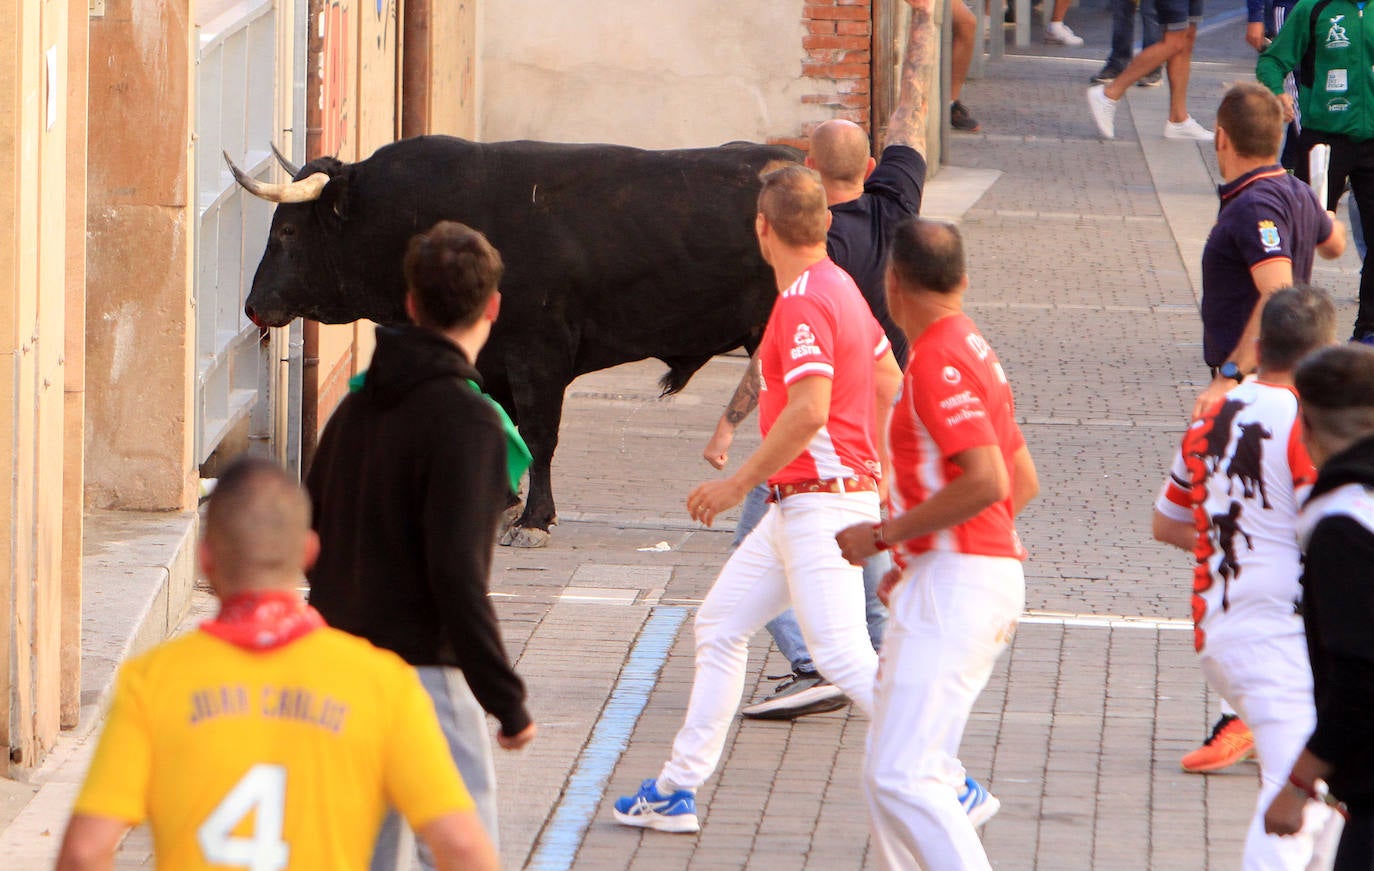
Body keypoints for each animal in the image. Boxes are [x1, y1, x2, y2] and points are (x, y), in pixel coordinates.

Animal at [236, 133, 802, 544]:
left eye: (288, 231)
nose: (253, 305)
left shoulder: (538, 353)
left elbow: (538, 434)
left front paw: (534, 520)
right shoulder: (493, 359)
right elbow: (503, 420)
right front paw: (505, 501)